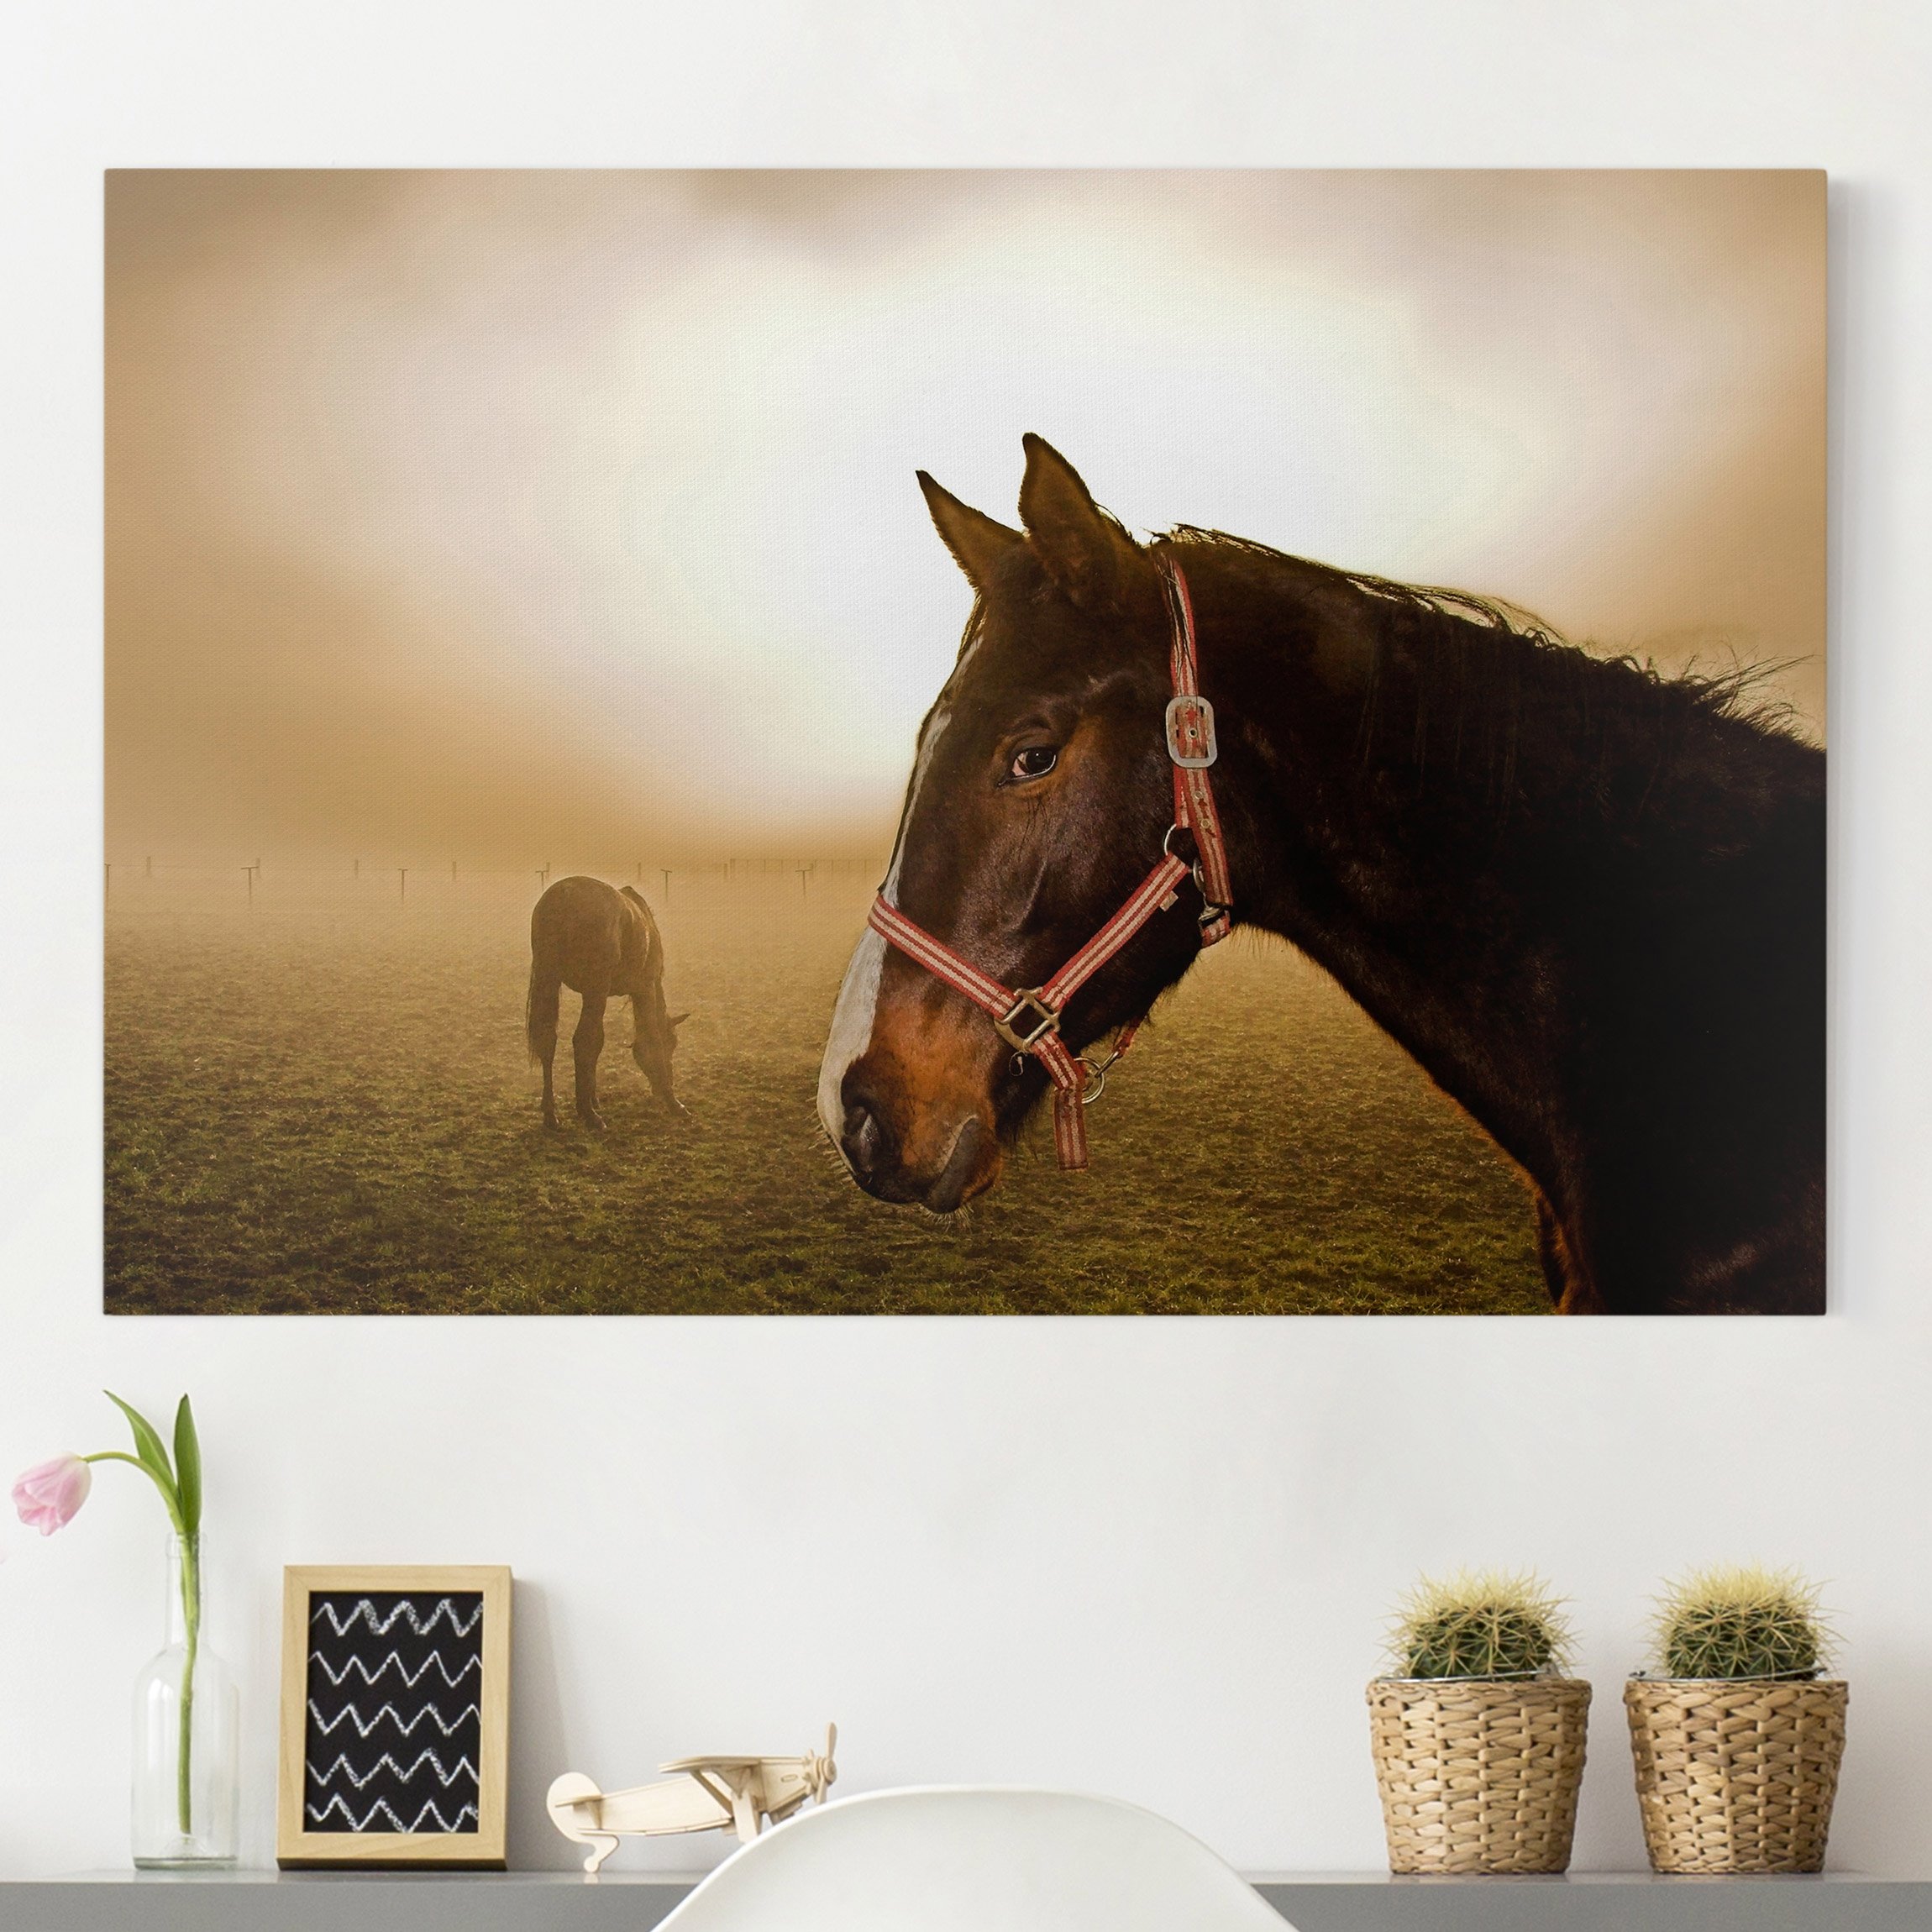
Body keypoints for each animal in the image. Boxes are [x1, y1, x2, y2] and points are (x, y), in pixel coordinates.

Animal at [528, 876, 688, 1130]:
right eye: (672, 1044)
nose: (659, 1090)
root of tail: (564, 895)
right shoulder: (645, 988)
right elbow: (650, 1038)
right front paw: (674, 1103)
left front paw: (593, 1096)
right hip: (596, 989)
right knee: (583, 1040)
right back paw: (588, 1114)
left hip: (550, 979)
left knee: (548, 1040)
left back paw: (552, 1114)